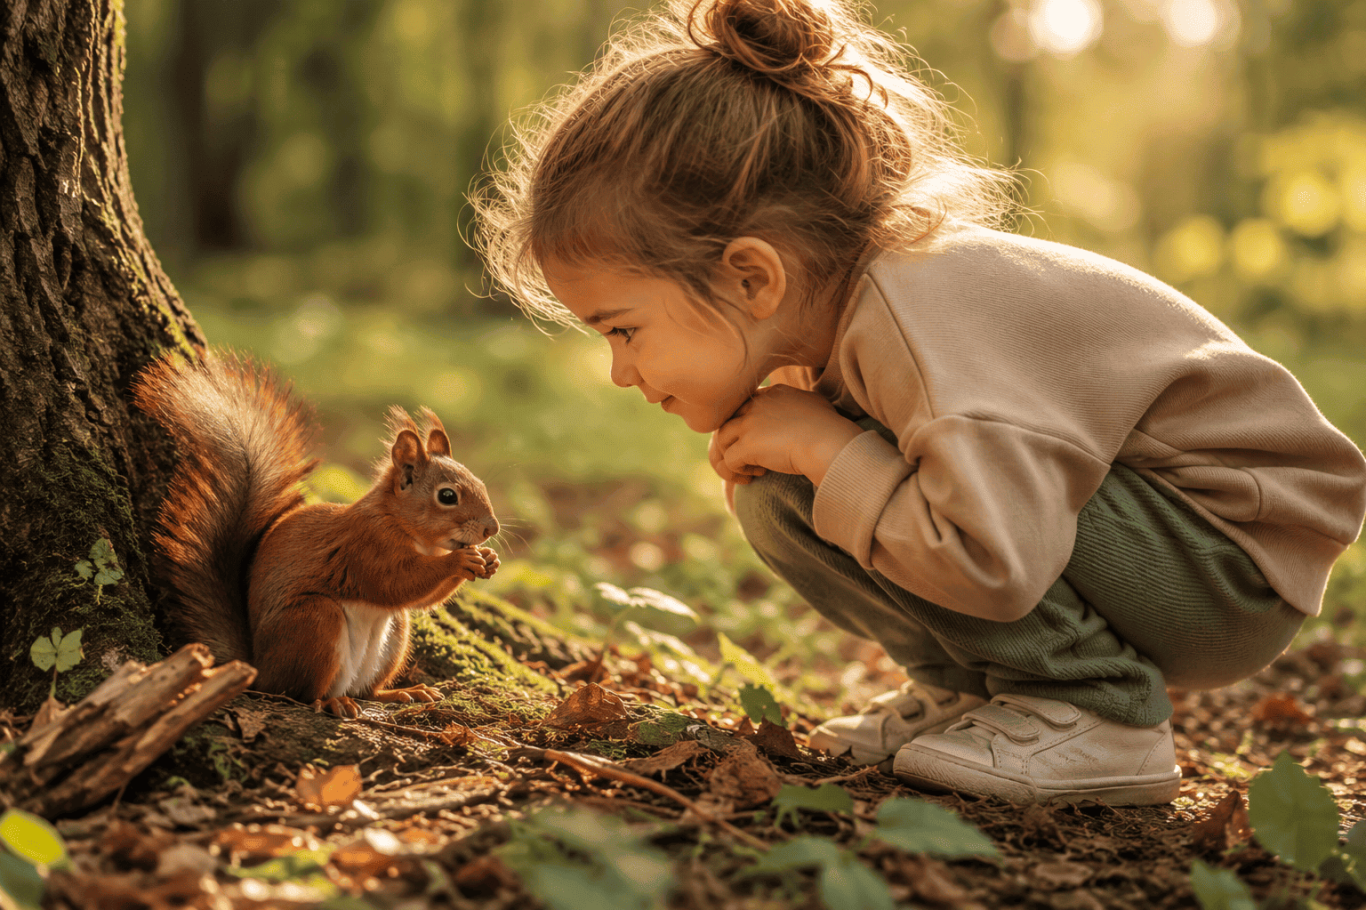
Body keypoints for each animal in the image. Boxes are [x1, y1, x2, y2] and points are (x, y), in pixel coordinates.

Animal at [133, 348, 500, 718]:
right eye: (448, 496)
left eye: (481, 483)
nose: (491, 528)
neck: (409, 530)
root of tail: (258, 667)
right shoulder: (366, 546)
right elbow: (397, 583)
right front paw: (460, 561)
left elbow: (422, 600)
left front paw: (489, 559)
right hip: (315, 622)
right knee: (297, 692)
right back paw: (331, 701)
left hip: (395, 633)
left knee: (366, 690)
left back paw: (399, 692)